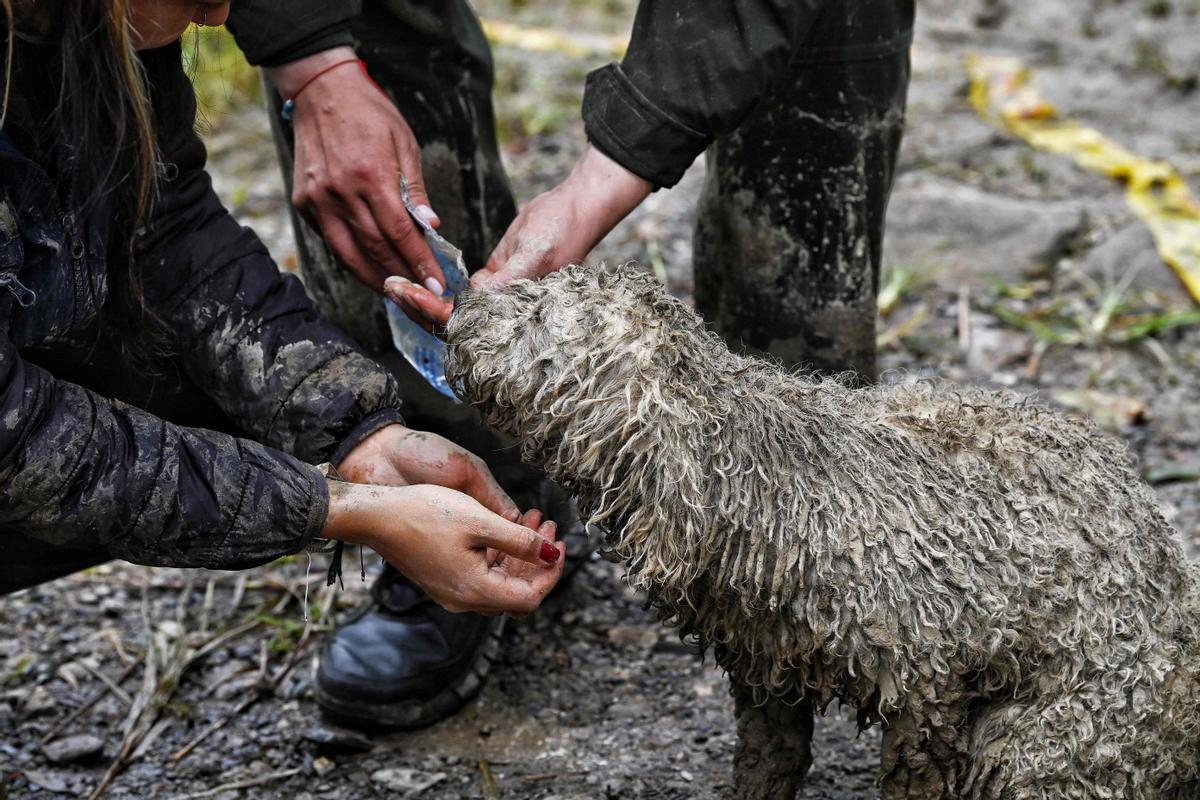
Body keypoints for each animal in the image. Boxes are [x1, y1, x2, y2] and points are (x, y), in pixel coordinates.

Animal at [444, 266, 1200, 796]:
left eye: (537, 314)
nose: (459, 307)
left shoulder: (929, 682)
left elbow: (916, 781)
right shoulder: (764, 662)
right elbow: (768, 761)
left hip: (1049, 738)